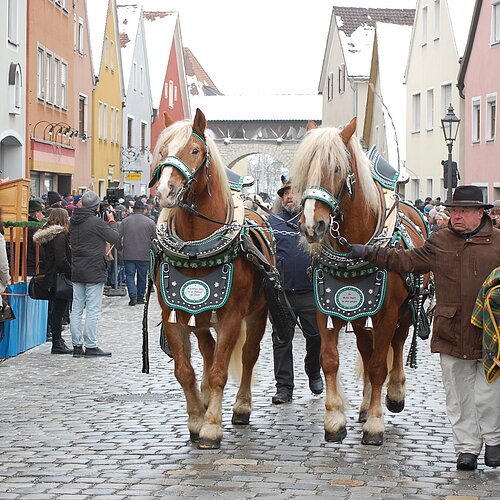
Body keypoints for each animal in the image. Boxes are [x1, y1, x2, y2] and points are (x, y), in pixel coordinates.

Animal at [145, 106, 280, 450]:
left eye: (194, 150)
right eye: (162, 151)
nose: (165, 192)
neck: (197, 249)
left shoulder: (232, 316)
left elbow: (221, 369)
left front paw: (211, 428)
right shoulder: (174, 314)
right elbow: (185, 370)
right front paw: (196, 419)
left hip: (258, 312)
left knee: (247, 355)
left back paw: (241, 406)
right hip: (202, 317)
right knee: (207, 350)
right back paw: (205, 398)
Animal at [292, 118, 430, 446]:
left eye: (336, 169)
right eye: (304, 169)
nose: (312, 226)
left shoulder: (387, 312)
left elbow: (380, 365)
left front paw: (376, 425)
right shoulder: (326, 309)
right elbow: (330, 360)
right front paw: (334, 421)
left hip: (406, 312)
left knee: (396, 345)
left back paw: (394, 394)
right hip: (359, 318)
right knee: (367, 352)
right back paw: (367, 405)